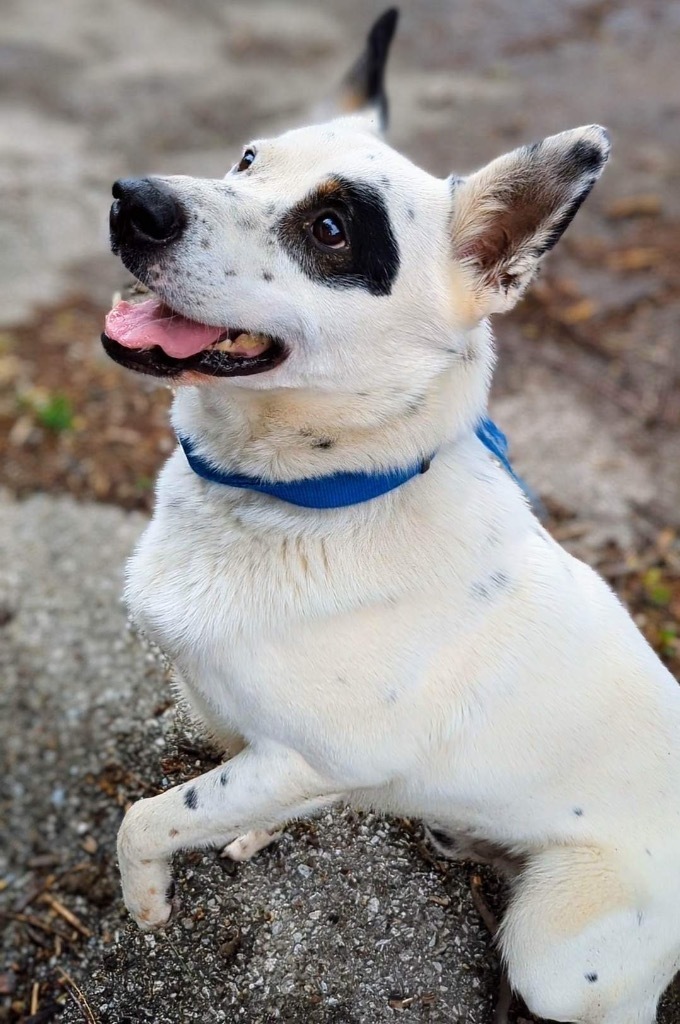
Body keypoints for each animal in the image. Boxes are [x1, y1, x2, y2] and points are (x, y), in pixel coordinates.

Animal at [100, 9, 680, 1024]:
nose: (133, 201)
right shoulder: (268, 752)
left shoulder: (296, 757)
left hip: (556, 955)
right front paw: (243, 839)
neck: (309, 501)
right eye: (247, 158)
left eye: (331, 230)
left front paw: (147, 904)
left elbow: (146, 819)